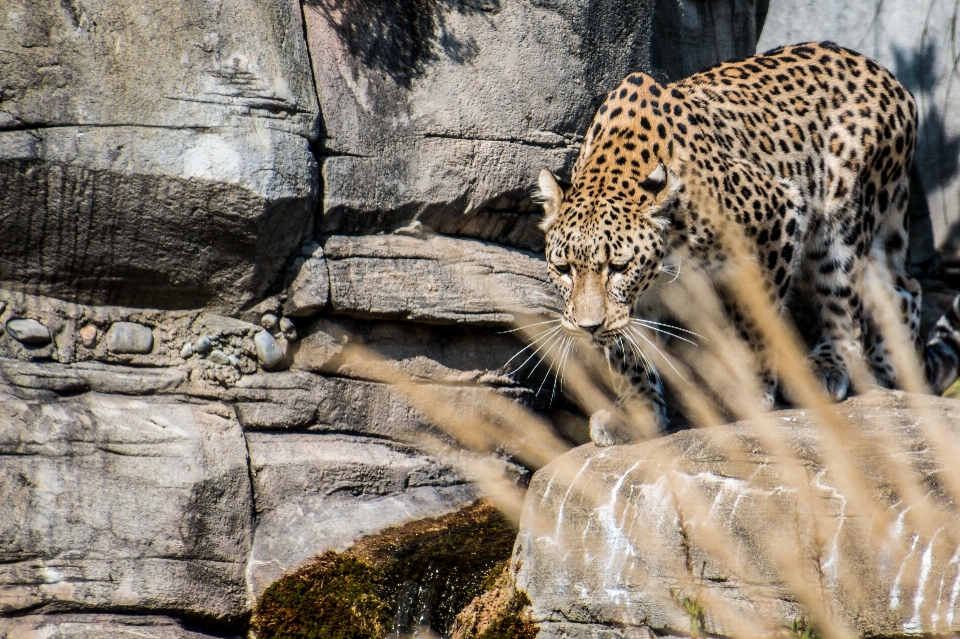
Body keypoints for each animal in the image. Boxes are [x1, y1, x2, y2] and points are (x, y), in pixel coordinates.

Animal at [536, 42, 932, 448]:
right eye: (564, 269)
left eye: (618, 267)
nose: (587, 328)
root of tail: (891, 78)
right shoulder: (633, 304)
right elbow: (626, 351)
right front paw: (637, 412)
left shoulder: (778, 215)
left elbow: (757, 320)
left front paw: (753, 390)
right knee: (903, 288)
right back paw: (896, 368)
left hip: (841, 224)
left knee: (845, 304)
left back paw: (830, 367)